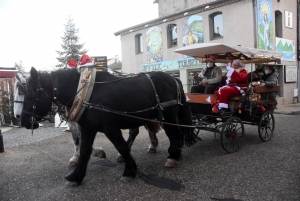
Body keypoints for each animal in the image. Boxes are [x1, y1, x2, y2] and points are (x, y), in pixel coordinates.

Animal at [20, 66, 195, 186]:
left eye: (32, 93)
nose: (23, 121)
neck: (87, 94)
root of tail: (174, 79)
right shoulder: (88, 128)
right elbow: (84, 152)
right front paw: (76, 176)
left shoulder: (110, 128)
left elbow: (121, 147)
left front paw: (129, 170)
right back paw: (174, 153)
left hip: (168, 115)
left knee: (175, 133)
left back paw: (173, 156)